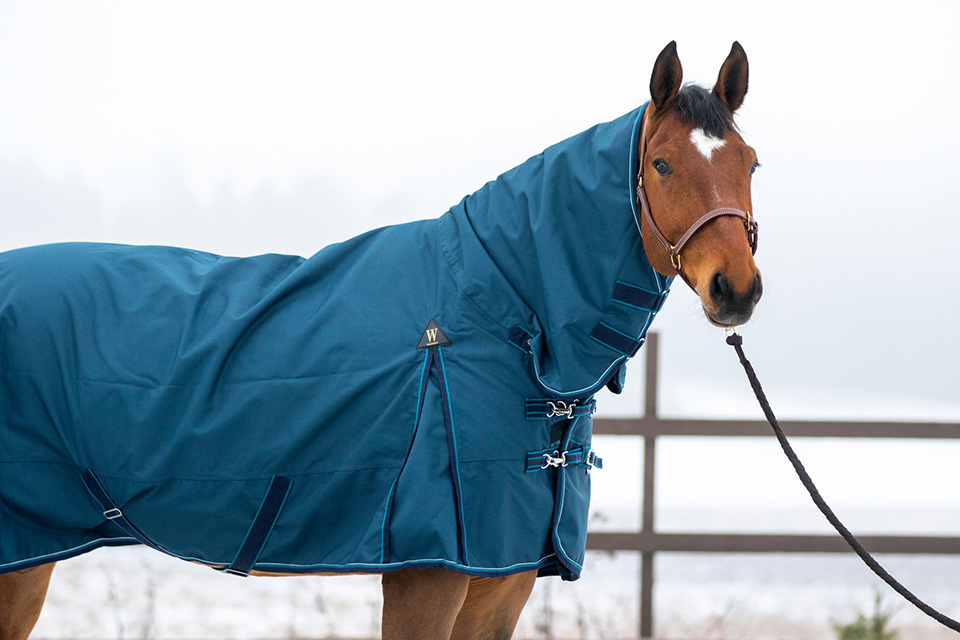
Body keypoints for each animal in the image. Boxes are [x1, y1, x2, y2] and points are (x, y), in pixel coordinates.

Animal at [0, 41, 761, 640]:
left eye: (750, 163)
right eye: (662, 164)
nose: (737, 289)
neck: (496, 312)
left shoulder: (502, 580)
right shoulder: (430, 573)